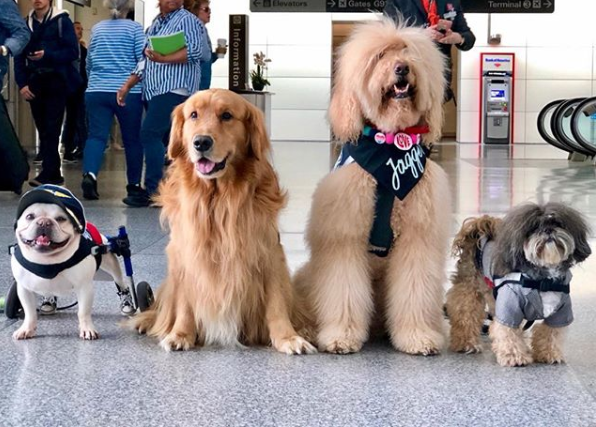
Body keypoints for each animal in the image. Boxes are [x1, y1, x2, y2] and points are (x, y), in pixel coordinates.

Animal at [130, 89, 316, 354]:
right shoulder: (186, 255)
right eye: (193, 115)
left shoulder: (268, 252)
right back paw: (146, 321)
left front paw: (288, 338)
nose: (201, 142)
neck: (218, 198)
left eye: (227, 115)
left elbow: (277, 302)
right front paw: (181, 334)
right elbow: (184, 303)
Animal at [294, 18, 452, 356]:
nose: (402, 68)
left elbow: (414, 288)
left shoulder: (417, 239)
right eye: (380, 56)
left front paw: (417, 336)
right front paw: (340, 336)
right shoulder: (345, 238)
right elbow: (343, 289)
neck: (389, 143)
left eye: (409, 53)